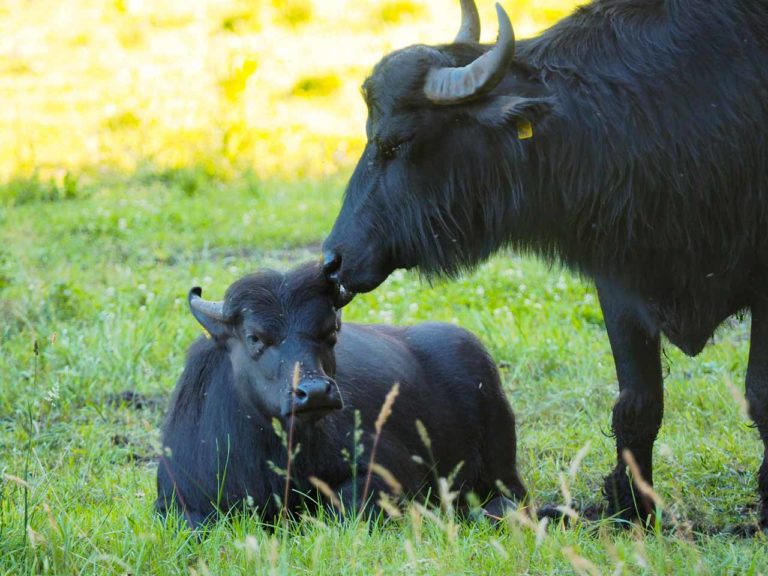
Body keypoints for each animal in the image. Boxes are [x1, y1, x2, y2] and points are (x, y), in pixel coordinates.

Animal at [156, 264, 528, 528]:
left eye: (330, 332)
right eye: (255, 337)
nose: (314, 393)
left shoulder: (390, 472)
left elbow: (342, 508)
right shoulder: (179, 502)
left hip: (500, 463)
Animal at [322, 0, 768, 528]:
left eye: (395, 142)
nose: (333, 260)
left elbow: (760, 396)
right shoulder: (619, 281)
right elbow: (637, 405)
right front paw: (631, 509)